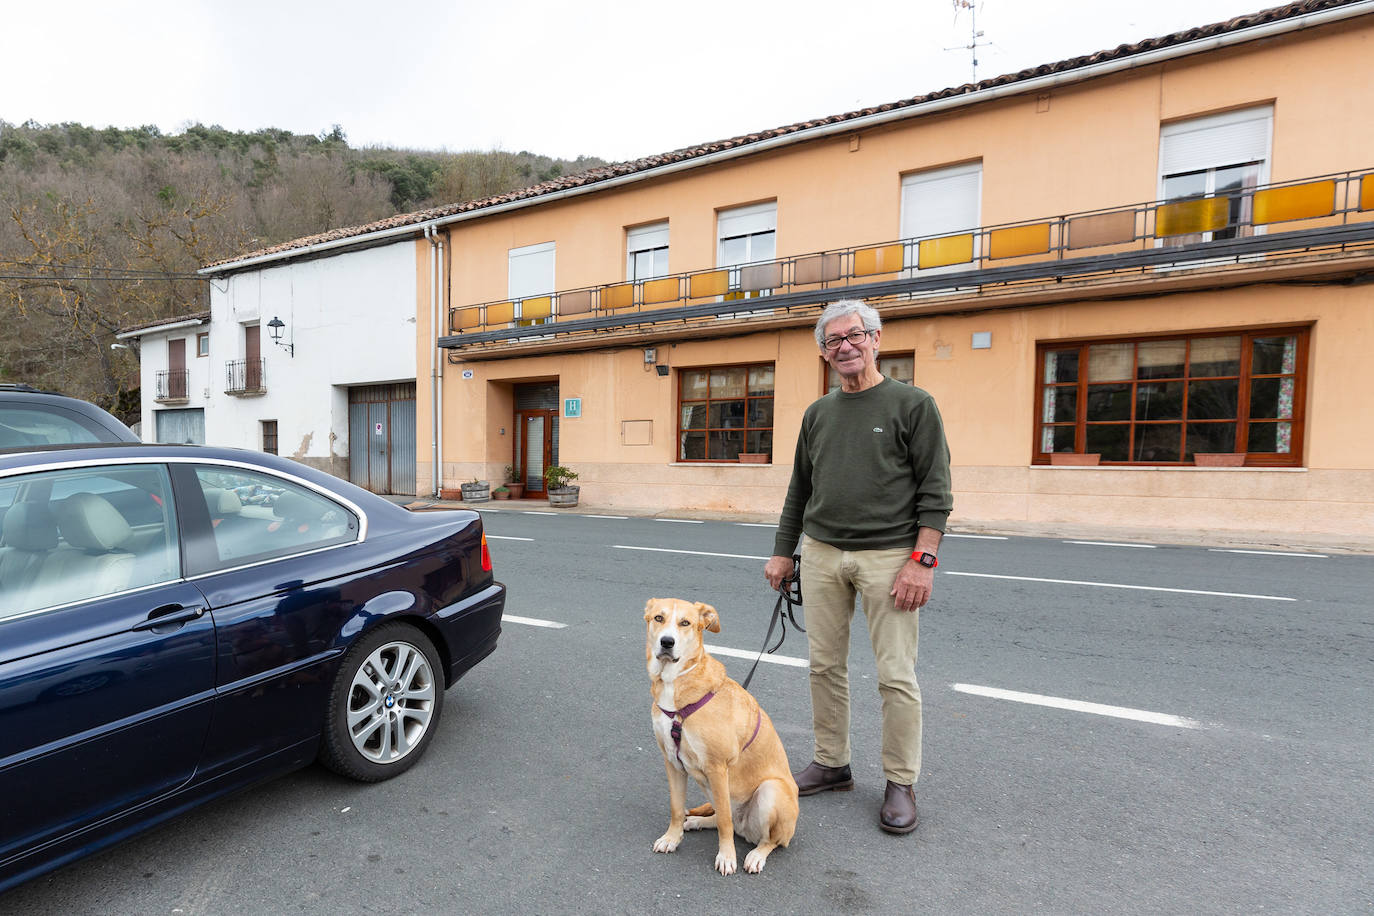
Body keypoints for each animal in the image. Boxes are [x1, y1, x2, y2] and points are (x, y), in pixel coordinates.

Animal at [645, 598, 802, 878]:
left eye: (685, 623)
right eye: (658, 618)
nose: (667, 642)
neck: (676, 684)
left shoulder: (717, 768)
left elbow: (725, 825)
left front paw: (727, 857)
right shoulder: (672, 763)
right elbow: (676, 808)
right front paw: (672, 838)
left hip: (770, 791)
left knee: (767, 839)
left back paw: (756, 855)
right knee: (719, 817)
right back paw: (697, 821)